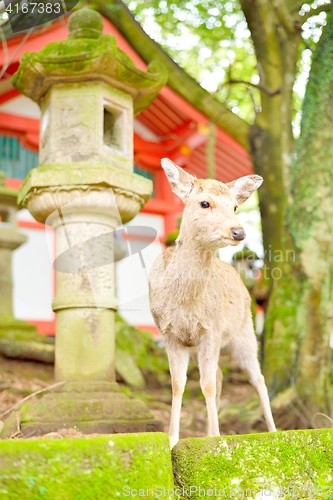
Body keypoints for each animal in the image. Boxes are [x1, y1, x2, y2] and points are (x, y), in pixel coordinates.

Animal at [148, 158, 274, 448]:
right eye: (205, 203)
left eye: (235, 206)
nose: (238, 231)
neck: (184, 301)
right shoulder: (170, 334)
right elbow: (178, 384)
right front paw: (173, 440)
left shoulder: (211, 330)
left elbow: (205, 384)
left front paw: (216, 439)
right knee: (220, 375)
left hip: (244, 332)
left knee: (257, 378)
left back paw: (274, 431)